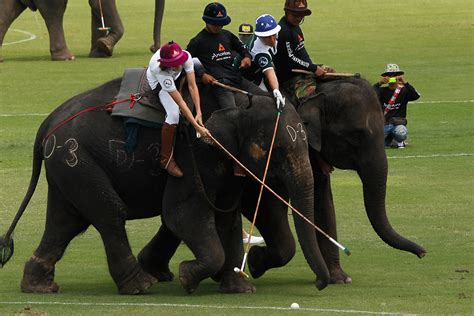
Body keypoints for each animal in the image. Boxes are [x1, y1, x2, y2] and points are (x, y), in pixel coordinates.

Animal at [0, 0, 165, 61]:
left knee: (7, 12)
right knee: (54, 10)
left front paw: (99, 53)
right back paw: (66, 57)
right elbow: (99, 3)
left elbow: (96, 8)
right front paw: (105, 46)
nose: (153, 47)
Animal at [0, 76, 330, 294]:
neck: (240, 98)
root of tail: (47, 125)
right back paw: (140, 285)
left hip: (69, 168)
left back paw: (39, 286)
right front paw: (188, 277)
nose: (319, 285)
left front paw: (239, 285)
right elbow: (182, 214)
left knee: (64, 222)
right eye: (276, 152)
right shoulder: (195, 153)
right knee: (109, 214)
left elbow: (226, 217)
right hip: (76, 160)